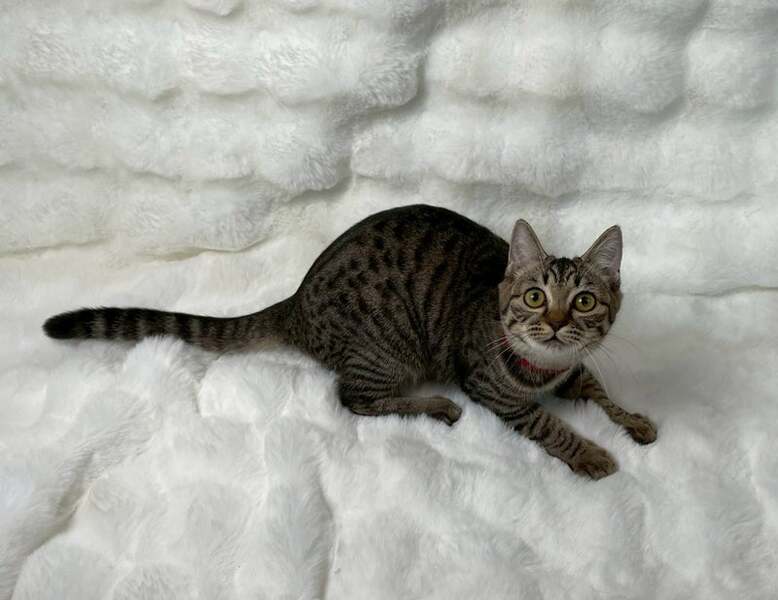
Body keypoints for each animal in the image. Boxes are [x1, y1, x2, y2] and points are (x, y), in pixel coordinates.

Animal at [44, 204, 656, 479]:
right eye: (534, 297)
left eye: (583, 302)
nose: (552, 322)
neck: (546, 365)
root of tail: (295, 302)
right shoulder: (493, 388)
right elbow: (548, 422)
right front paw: (591, 452)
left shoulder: (575, 368)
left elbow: (598, 390)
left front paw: (633, 420)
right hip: (387, 349)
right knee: (353, 399)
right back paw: (435, 405)